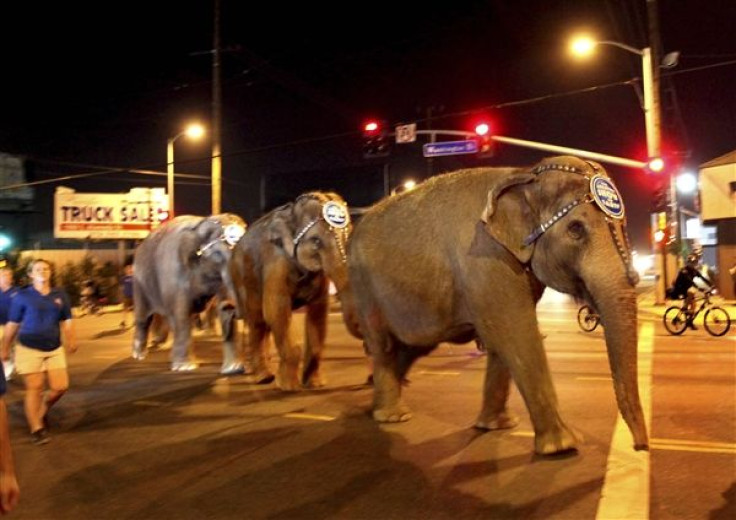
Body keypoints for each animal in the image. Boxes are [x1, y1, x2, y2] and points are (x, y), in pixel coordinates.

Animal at [131, 213, 246, 372]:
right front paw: (185, 368)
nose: (229, 305)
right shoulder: (175, 272)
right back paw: (139, 356)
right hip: (139, 283)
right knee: (144, 318)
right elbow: (182, 313)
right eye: (217, 254)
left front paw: (234, 369)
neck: (202, 223)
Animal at [233, 191, 354, 390]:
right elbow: (276, 310)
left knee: (264, 324)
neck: (292, 214)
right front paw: (288, 386)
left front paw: (315, 384)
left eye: (349, 235)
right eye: (316, 241)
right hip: (241, 279)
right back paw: (263, 377)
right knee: (257, 319)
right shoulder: (275, 262)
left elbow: (319, 313)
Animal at [344, 155, 648, 456]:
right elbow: (515, 331)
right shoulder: (485, 257)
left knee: (411, 347)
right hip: (364, 287)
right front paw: (563, 446)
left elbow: (501, 340)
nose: (640, 447)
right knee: (383, 344)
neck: (524, 174)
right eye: (576, 229)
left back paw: (374, 406)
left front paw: (496, 426)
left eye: (622, 228)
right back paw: (391, 416)